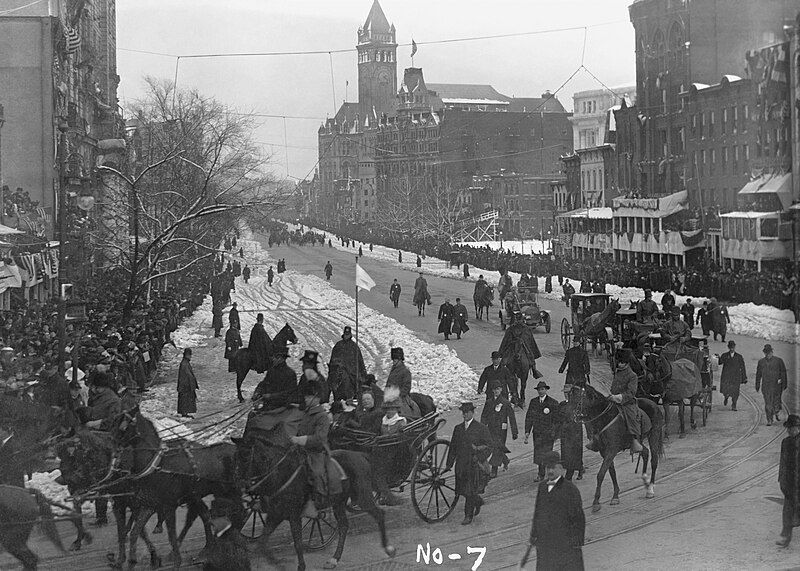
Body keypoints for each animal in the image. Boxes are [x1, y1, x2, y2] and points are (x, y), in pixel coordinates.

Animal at [111, 408, 239, 568]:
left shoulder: (168, 506)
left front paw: (176, 561)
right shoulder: (148, 504)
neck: (158, 464)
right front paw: (133, 559)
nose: (114, 448)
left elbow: (170, 536)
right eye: (114, 423)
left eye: (123, 427)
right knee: (206, 515)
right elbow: (134, 531)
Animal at [233, 432, 396, 568]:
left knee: (379, 515)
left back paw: (389, 549)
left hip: (362, 497)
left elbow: (298, 543)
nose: (236, 481)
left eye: (246, 455)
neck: (281, 474)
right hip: (338, 503)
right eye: (235, 455)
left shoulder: (294, 515)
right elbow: (262, 544)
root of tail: (360, 455)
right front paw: (278, 563)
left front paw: (300, 566)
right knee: (344, 526)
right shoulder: (275, 515)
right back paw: (334, 559)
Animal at [576, 384, 664, 512]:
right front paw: (615, 496)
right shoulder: (604, 452)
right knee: (645, 452)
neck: (605, 418)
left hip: (654, 434)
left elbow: (601, 474)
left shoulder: (611, 450)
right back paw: (645, 480)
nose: (577, 414)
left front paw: (596, 502)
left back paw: (650, 488)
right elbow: (611, 471)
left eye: (582, 397)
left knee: (654, 460)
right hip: (639, 441)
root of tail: (654, 404)